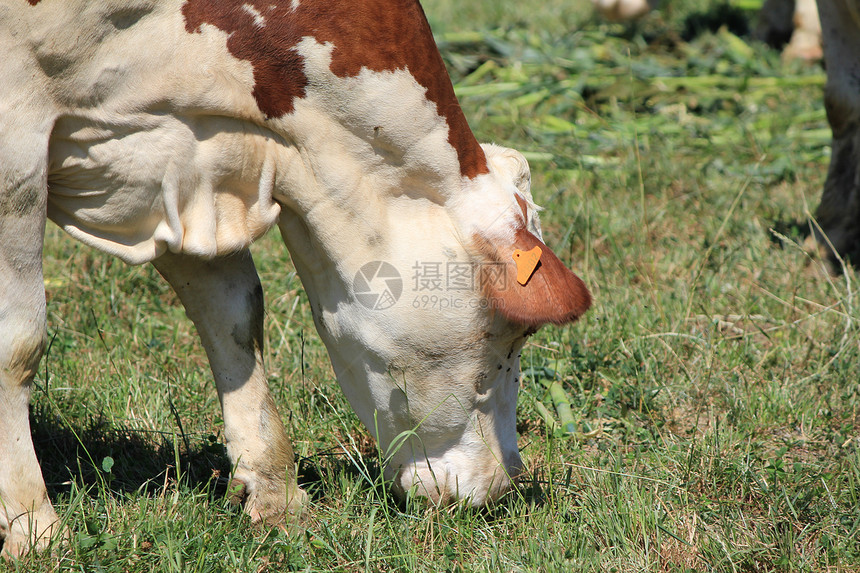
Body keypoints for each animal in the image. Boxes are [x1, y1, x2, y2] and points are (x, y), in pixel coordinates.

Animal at [0, 0, 592, 560]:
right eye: (510, 332)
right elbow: (18, 345)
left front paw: (275, 493)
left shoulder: (185, 166)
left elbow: (233, 316)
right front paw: (34, 528)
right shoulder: (16, 148)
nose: (499, 485)